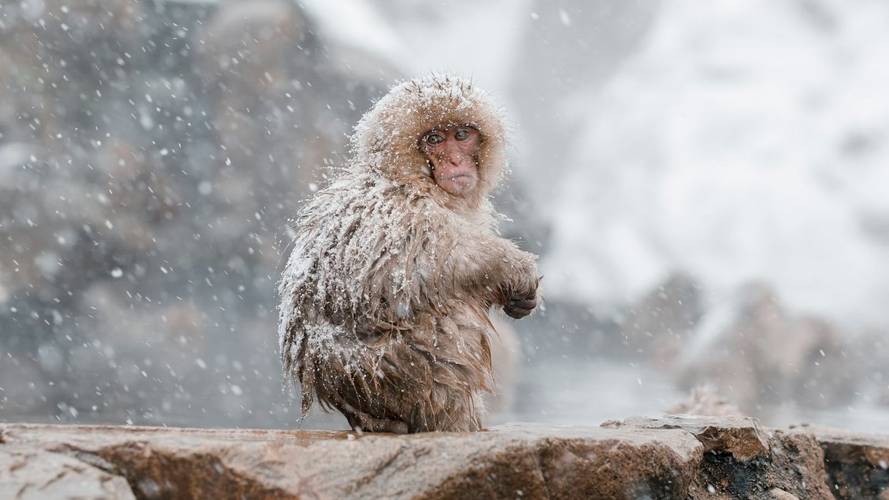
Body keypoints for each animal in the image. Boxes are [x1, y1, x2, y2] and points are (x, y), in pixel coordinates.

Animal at [278, 75, 539, 433]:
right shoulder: (402, 211)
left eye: (462, 135)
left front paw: (518, 297)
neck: (408, 176)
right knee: (447, 316)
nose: (455, 161)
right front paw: (512, 267)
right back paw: (451, 421)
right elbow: (417, 264)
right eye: (434, 139)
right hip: (396, 372)